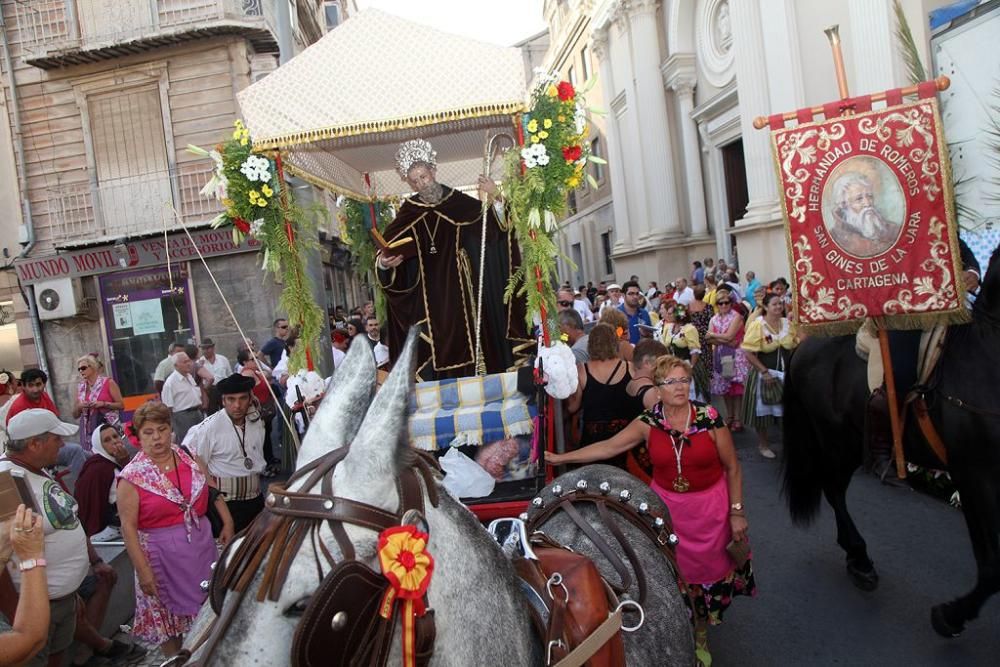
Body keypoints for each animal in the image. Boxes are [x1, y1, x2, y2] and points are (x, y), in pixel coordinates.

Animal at [780, 244, 1000, 636]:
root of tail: (806, 345)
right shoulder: (975, 474)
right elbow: (992, 566)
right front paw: (949, 616)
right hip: (839, 440)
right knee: (833, 489)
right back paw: (860, 559)